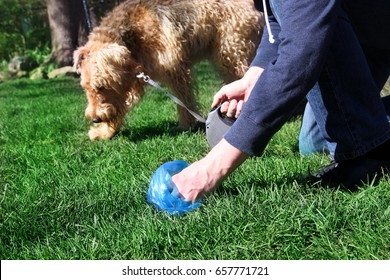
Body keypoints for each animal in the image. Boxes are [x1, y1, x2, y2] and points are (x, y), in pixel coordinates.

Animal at [74, 0, 262, 140]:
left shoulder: (176, 69)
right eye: (85, 87)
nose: (95, 118)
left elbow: (184, 100)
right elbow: (121, 106)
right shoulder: (133, 80)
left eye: (101, 86)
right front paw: (104, 132)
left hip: (231, 53)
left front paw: (187, 125)